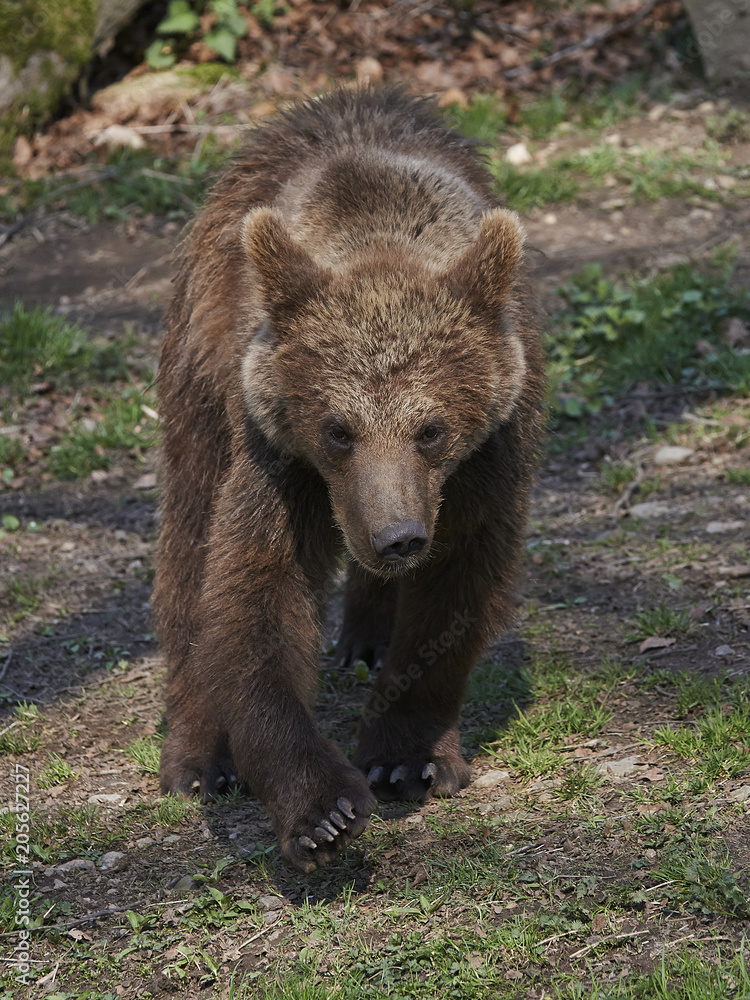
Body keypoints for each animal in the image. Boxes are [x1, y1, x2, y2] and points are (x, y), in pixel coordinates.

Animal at [156, 86, 548, 872]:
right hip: (198, 371)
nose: (397, 537)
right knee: (188, 537)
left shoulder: (486, 461)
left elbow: (459, 590)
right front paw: (322, 810)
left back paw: (367, 635)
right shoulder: (280, 458)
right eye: (339, 428)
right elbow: (259, 595)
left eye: (432, 428)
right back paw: (197, 755)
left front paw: (407, 757)